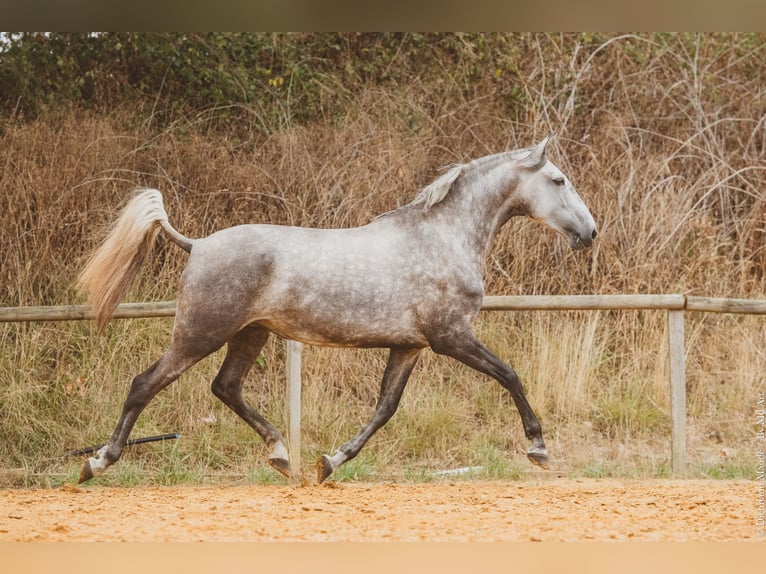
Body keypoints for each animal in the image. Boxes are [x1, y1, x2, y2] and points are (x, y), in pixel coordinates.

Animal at [76, 135, 597, 484]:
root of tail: (198, 244)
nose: (590, 232)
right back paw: (96, 463)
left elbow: (385, 408)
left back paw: (282, 456)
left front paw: (330, 462)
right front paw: (538, 447)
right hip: (200, 333)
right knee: (145, 385)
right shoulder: (451, 337)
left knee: (225, 387)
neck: (443, 237)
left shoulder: (410, 347)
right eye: (558, 179)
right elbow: (509, 375)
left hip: (250, 333)